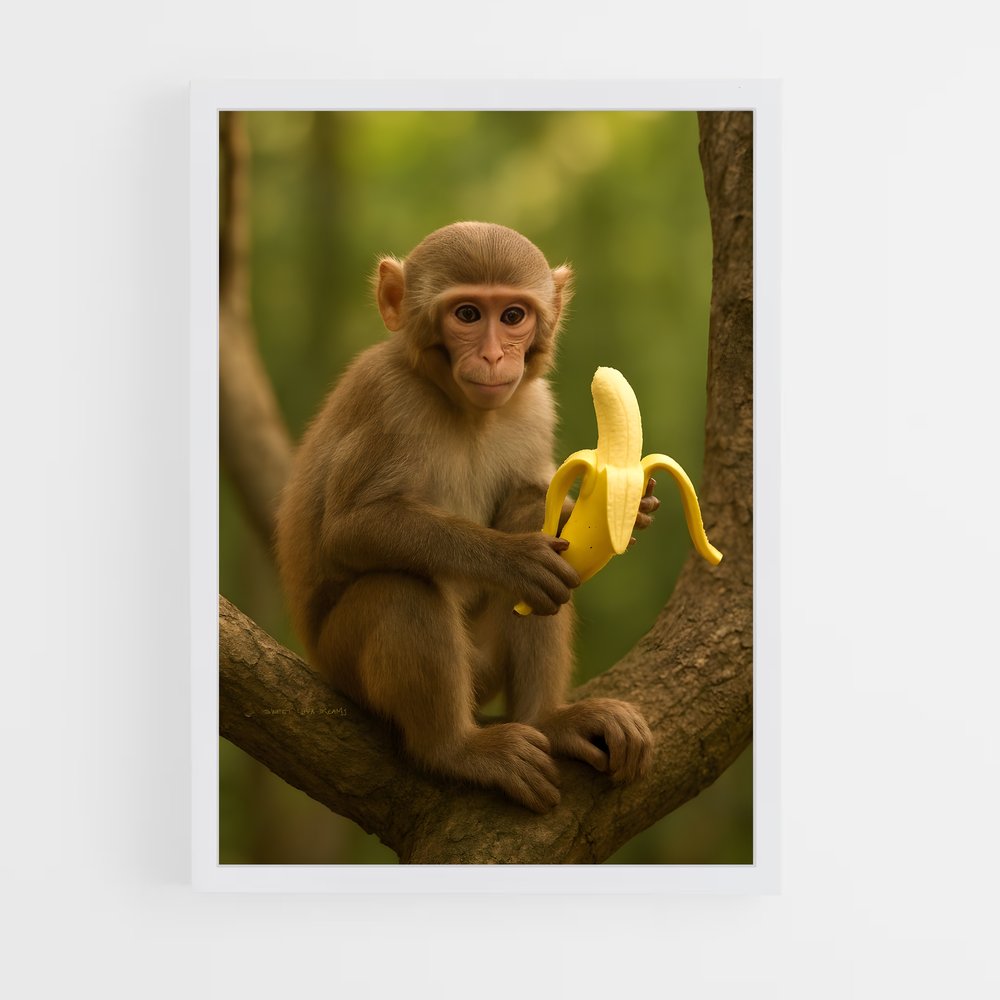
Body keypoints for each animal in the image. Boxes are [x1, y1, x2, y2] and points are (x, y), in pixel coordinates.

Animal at [275, 221, 655, 813]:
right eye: (468, 314)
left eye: (514, 315)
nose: (497, 358)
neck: (466, 410)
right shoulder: (388, 400)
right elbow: (349, 530)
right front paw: (513, 558)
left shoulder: (534, 404)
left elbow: (530, 502)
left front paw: (620, 510)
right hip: (343, 666)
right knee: (400, 590)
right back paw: (456, 749)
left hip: (484, 665)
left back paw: (551, 719)